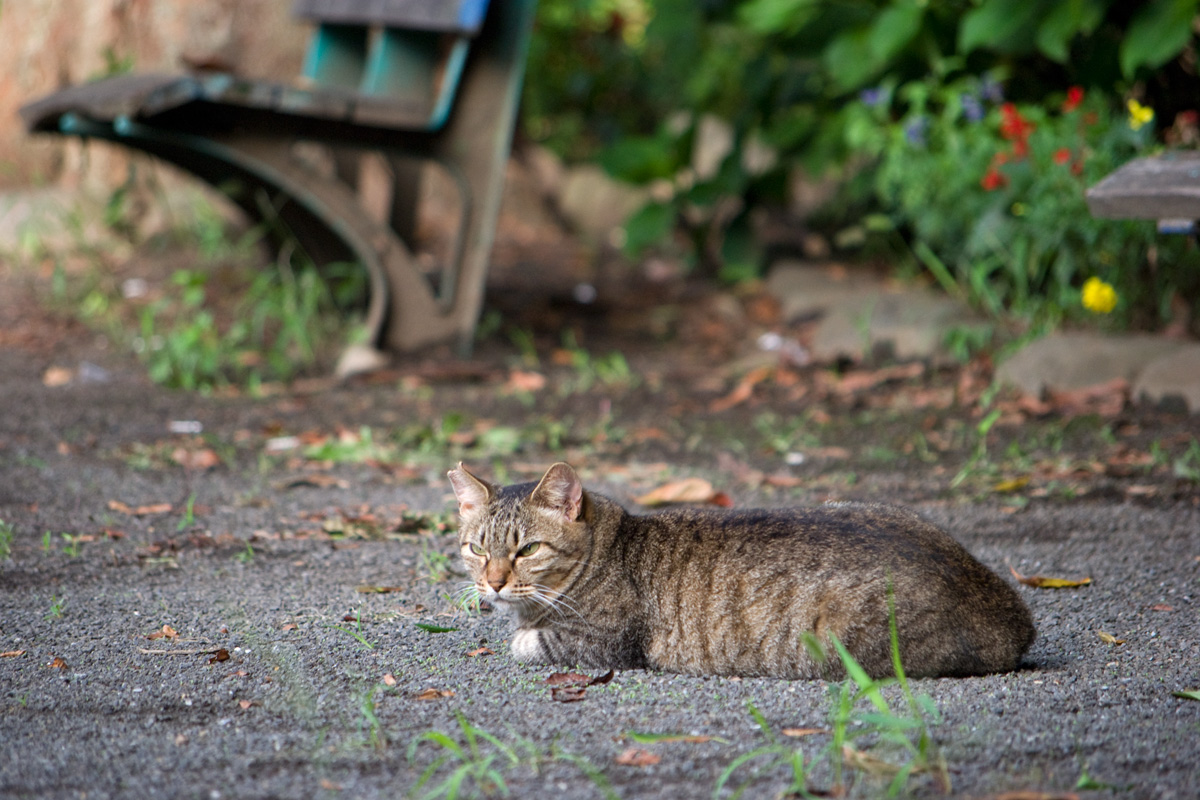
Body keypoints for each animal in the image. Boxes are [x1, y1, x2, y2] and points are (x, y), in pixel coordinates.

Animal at [446, 460, 1036, 681]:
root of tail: (1012, 615)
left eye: (527, 550)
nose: (493, 582)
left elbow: (528, 643)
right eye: (476, 548)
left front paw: (519, 634)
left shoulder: (600, 643)